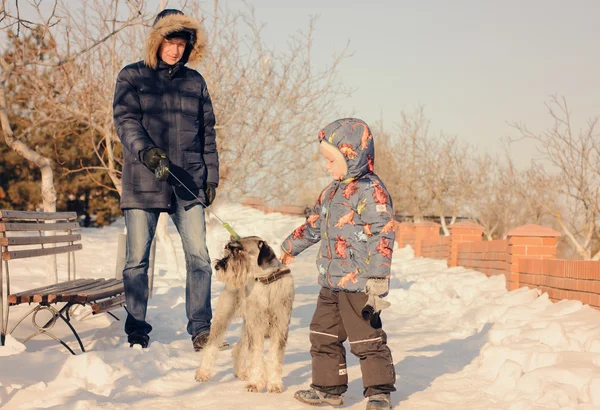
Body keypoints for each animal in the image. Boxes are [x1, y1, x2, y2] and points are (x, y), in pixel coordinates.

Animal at [195, 235, 296, 392]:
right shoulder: (257, 327)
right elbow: (256, 356)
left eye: (238, 250)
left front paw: (274, 385)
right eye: (228, 249)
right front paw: (255, 383)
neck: (267, 282)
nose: (218, 266)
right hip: (224, 318)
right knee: (211, 346)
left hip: (248, 323)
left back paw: (240, 372)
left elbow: (274, 357)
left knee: (239, 347)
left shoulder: (280, 327)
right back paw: (203, 373)